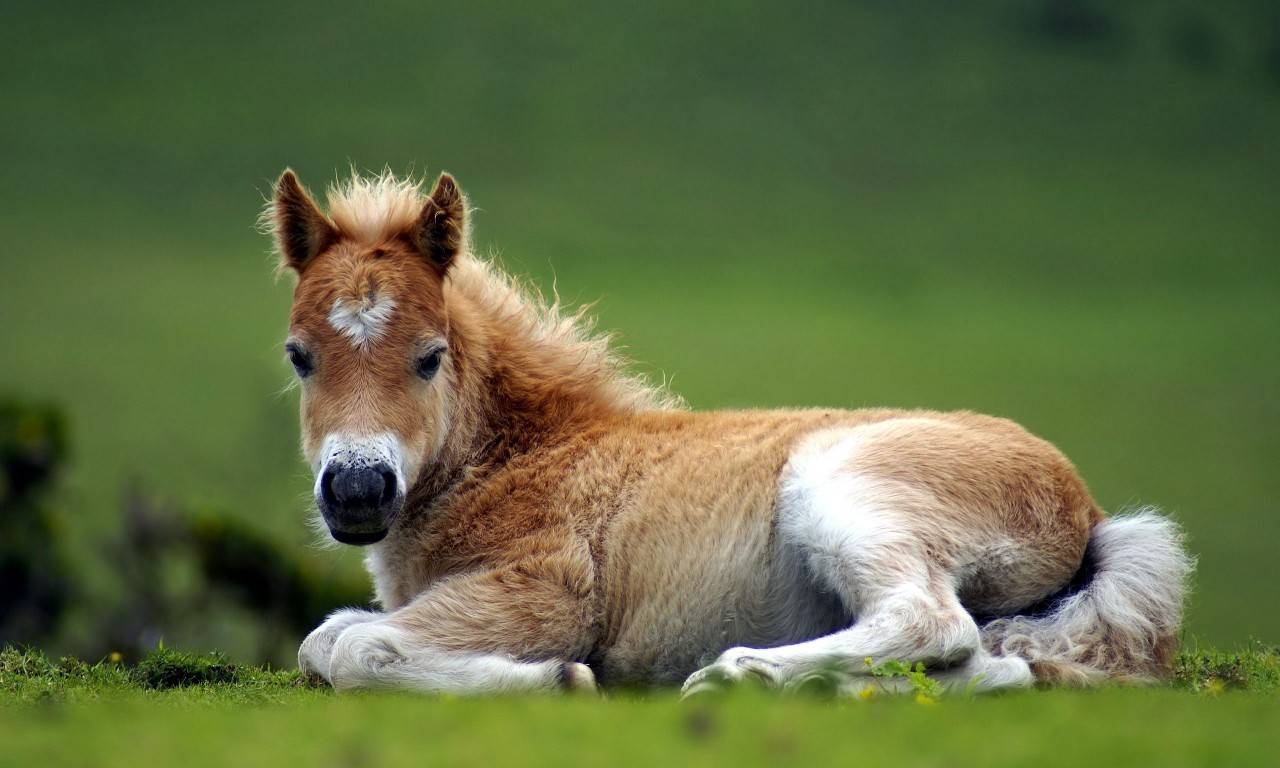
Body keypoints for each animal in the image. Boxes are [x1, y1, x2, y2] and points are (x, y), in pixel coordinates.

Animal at [265, 168, 1192, 695]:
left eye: (429, 357)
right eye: (299, 355)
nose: (356, 490)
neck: (525, 455)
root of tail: (1087, 511)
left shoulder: (540, 590)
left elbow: (353, 650)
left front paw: (560, 678)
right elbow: (326, 638)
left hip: (842, 487)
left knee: (933, 624)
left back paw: (736, 674)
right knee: (991, 667)